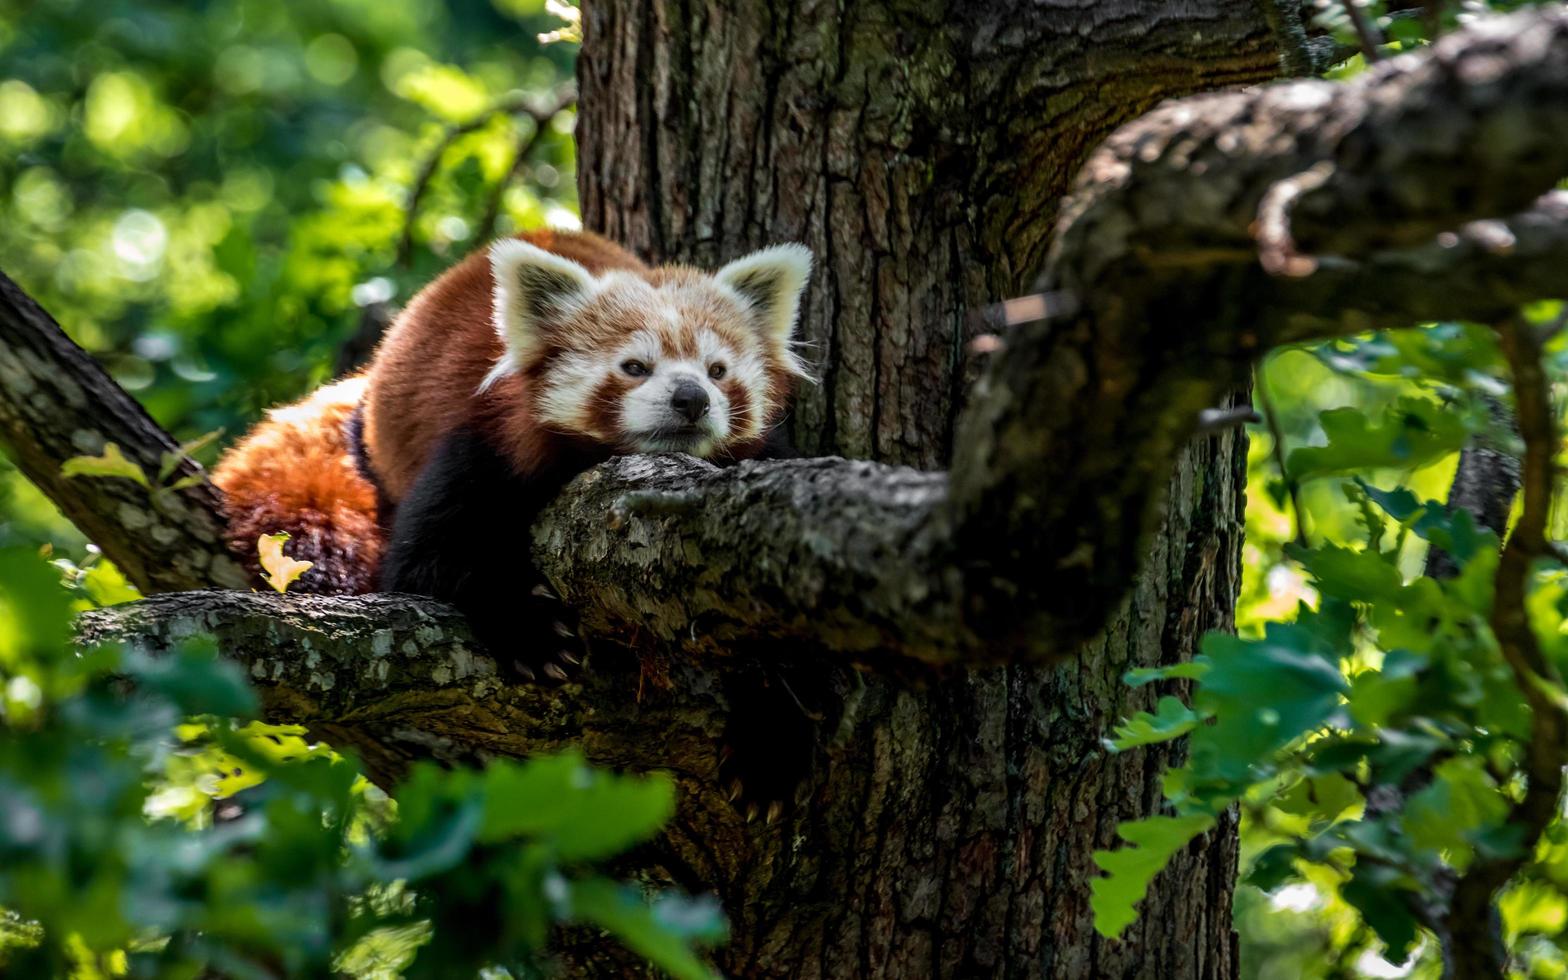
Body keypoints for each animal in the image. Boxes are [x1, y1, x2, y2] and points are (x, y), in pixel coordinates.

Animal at [214, 227, 815, 664]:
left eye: (717, 371)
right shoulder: (484, 446)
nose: (692, 399)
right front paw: (531, 628)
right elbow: (425, 563)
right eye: (634, 367)